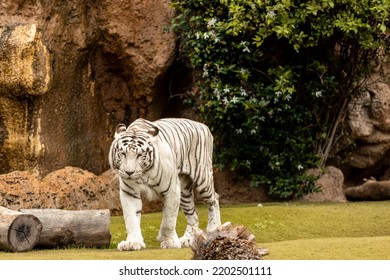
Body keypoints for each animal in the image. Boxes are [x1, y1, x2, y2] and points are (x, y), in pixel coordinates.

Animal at [108, 117, 221, 250]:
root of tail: (203, 125)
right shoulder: (129, 192)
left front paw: (169, 241)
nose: (129, 172)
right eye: (123, 153)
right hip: (184, 191)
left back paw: (214, 229)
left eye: (140, 155)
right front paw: (132, 242)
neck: (144, 174)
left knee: (214, 200)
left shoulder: (172, 191)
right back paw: (188, 239)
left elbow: (168, 220)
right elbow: (131, 219)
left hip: (203, 178)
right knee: (193, 214)